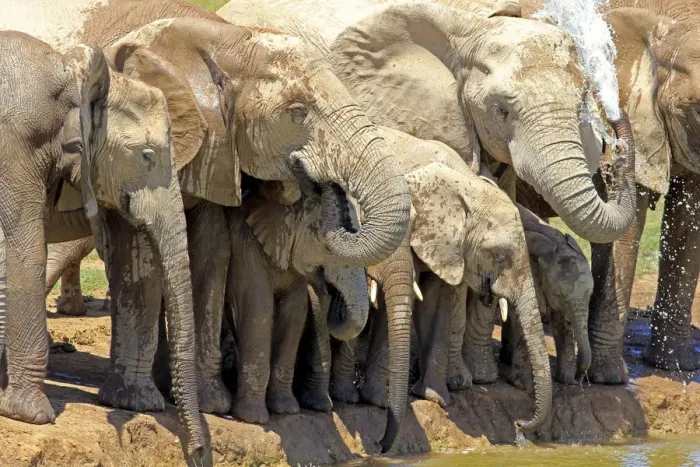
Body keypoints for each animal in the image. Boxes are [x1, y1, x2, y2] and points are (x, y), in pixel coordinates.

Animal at [0, 32, 206, 459]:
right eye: (147, 156)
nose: (197, 454)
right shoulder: (15, 143)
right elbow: (26, 245)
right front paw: (31, 415)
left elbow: (133, 255)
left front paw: (132, 403)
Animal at [222, 180, 369, 424]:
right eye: (328, 247)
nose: (332, 294)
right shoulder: (246, 246)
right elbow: (258, 308)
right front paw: (253, 418)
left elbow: (295, 312)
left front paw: (286, 409)